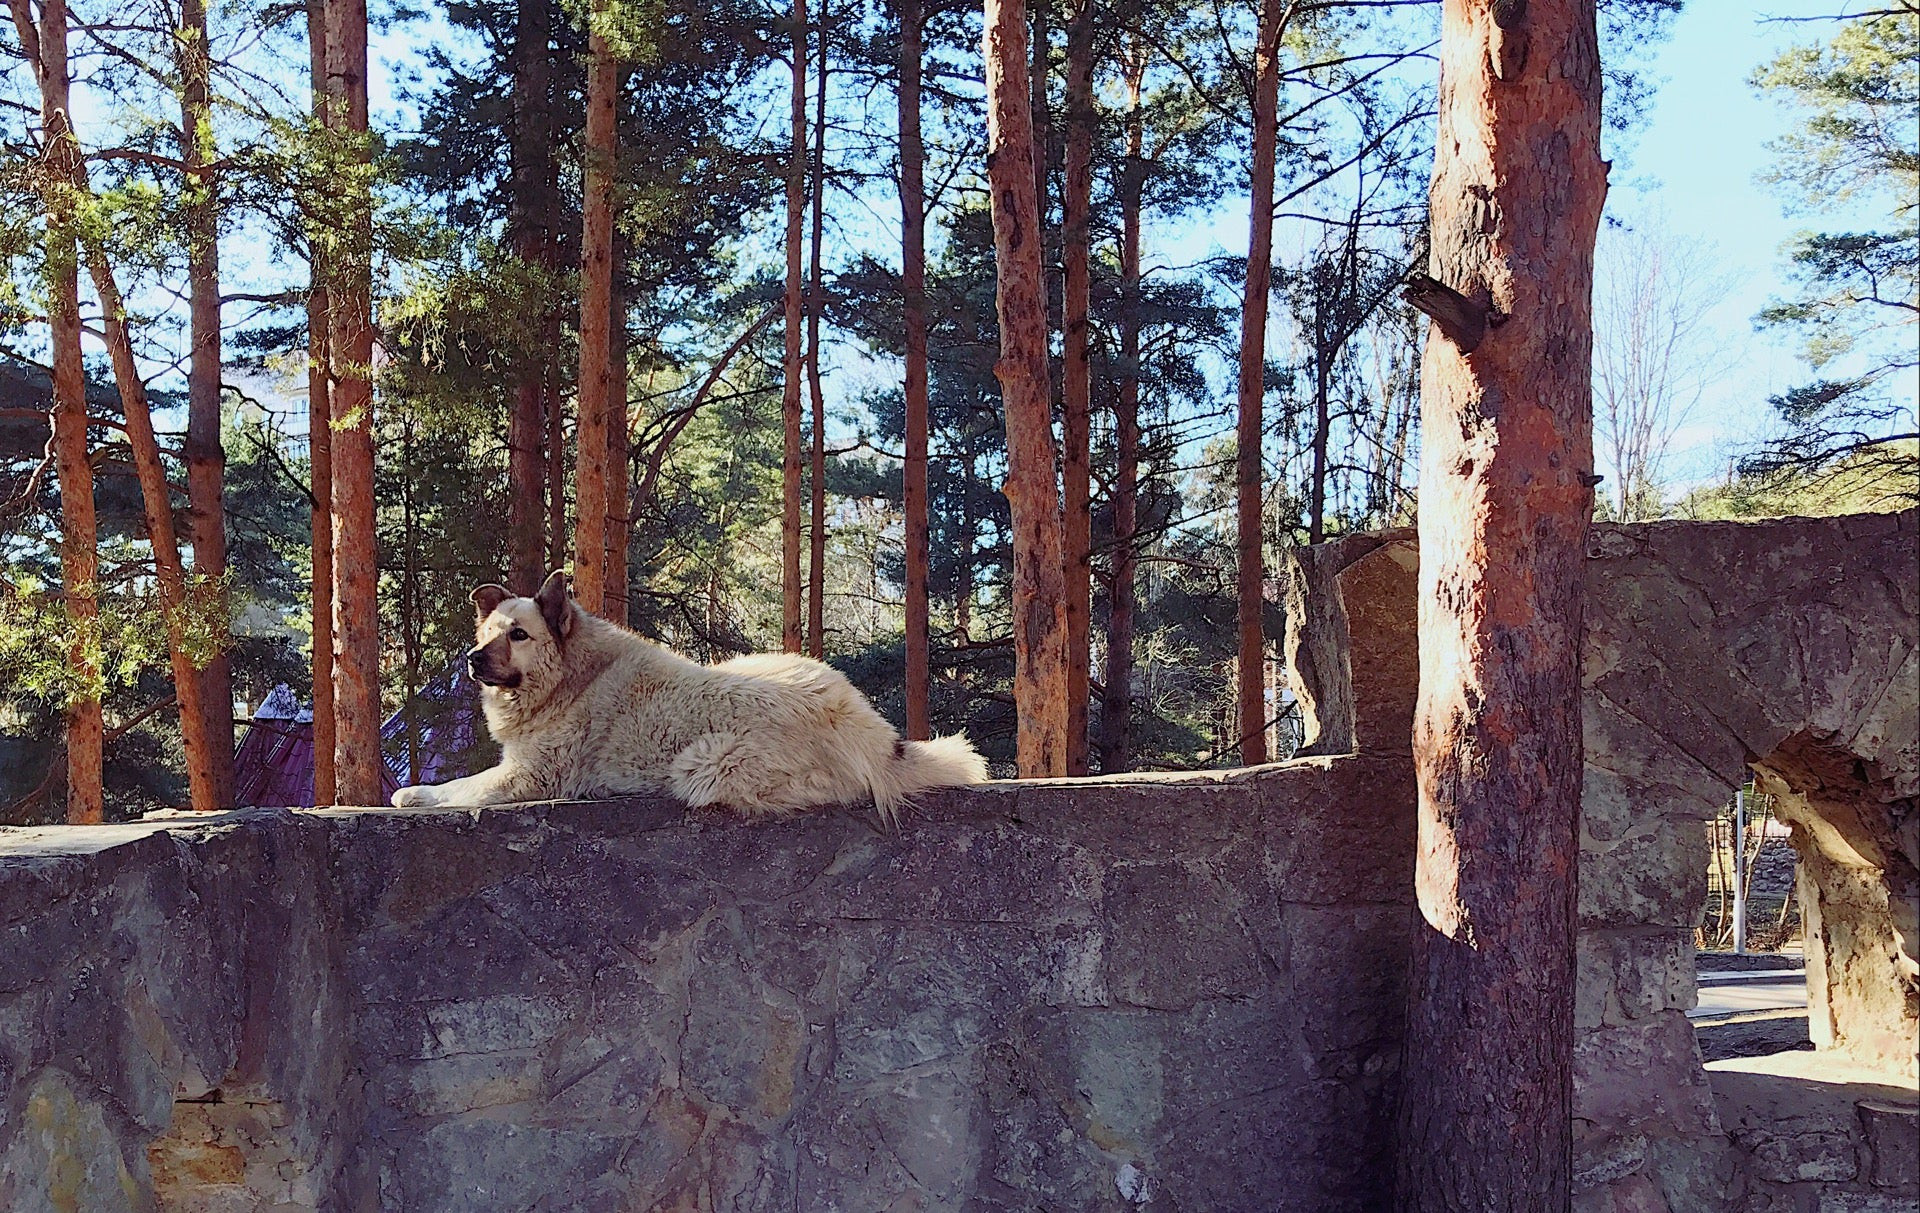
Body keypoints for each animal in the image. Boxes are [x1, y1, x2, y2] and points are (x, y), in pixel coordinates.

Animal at [389, 571, 990, 825]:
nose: (471, 658)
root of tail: (872, 732)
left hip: (701, 763)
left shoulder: (527, 776)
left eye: (518, 635)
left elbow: (461, 787)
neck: (572, 676)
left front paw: (414, 794)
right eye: (489, 631)